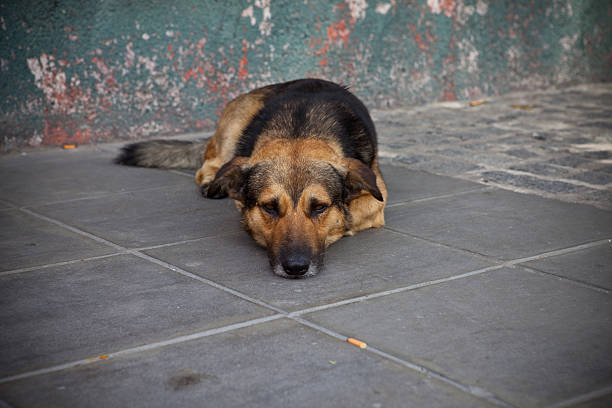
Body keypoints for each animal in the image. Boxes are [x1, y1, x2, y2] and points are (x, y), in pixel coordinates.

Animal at [115, 78, 388, 278]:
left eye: (320, 207)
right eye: (270, 207)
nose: (296, 268)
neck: (300, 130)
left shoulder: (377, 195)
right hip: (233, 128)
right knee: (209, 162)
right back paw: (212, 181)